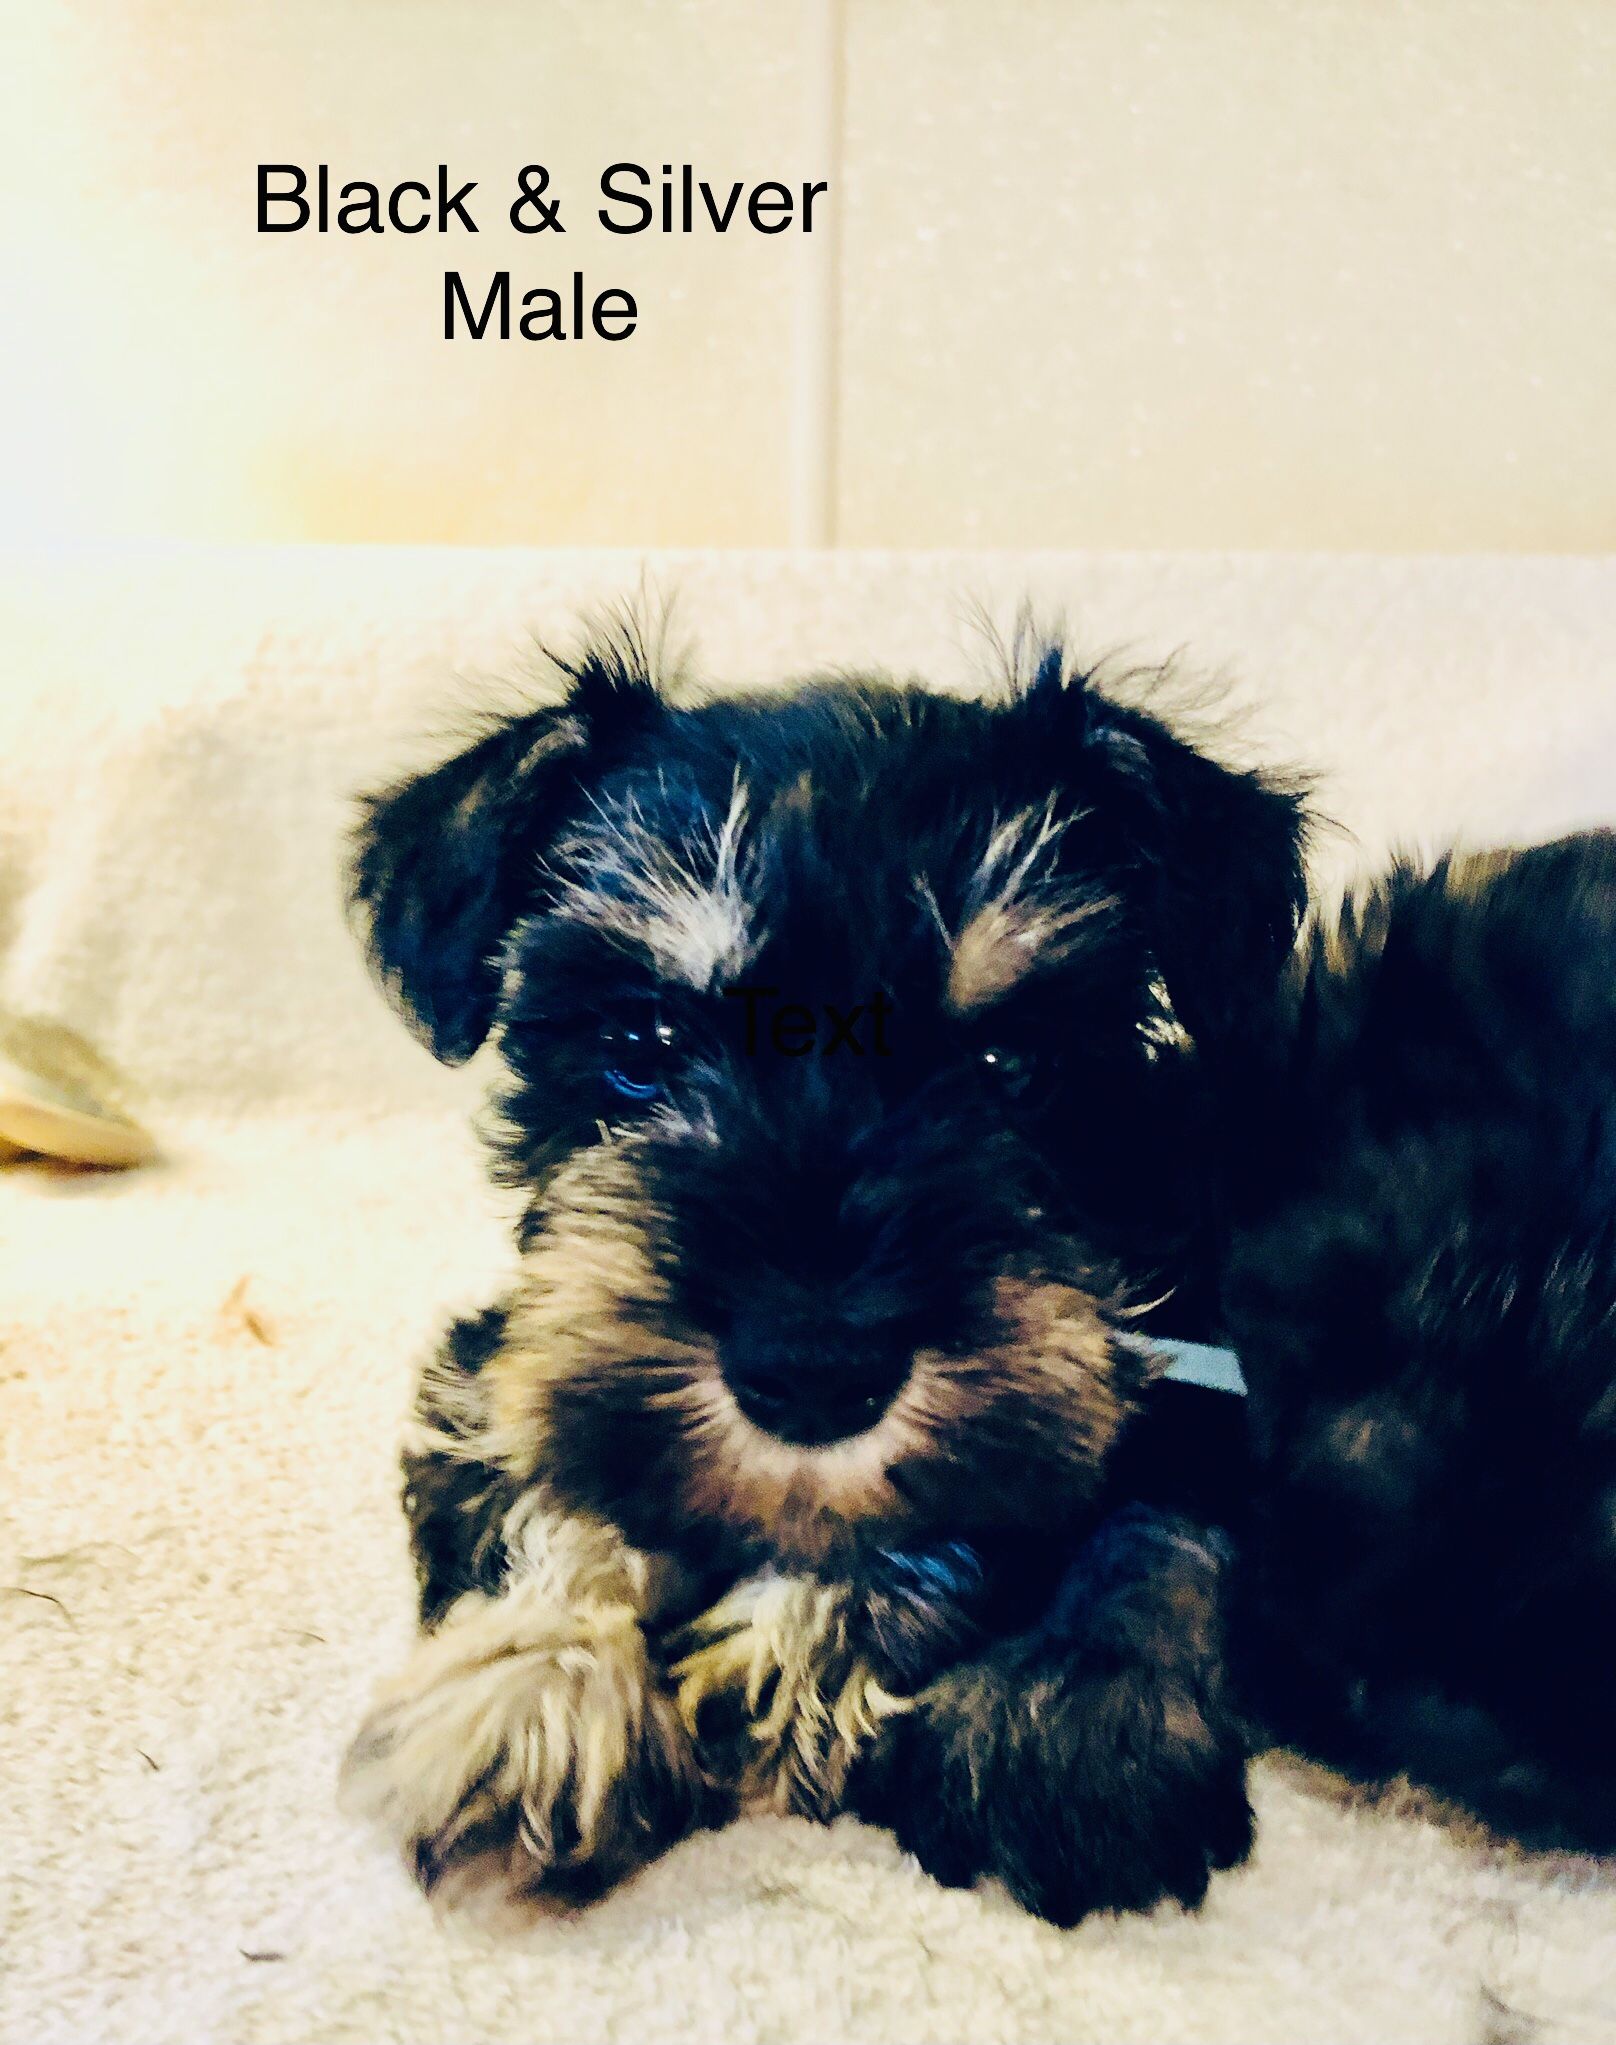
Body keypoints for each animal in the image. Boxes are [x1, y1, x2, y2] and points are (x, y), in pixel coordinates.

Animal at [337, 616, 1306, 1923]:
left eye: (1008, 1063)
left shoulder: (1169, 1371)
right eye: (641, 1042)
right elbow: (549, 1487)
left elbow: (1107, 1524)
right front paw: (534, 1693)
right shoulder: (500, 1360)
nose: (811, 1369)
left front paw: (1032, 1712)